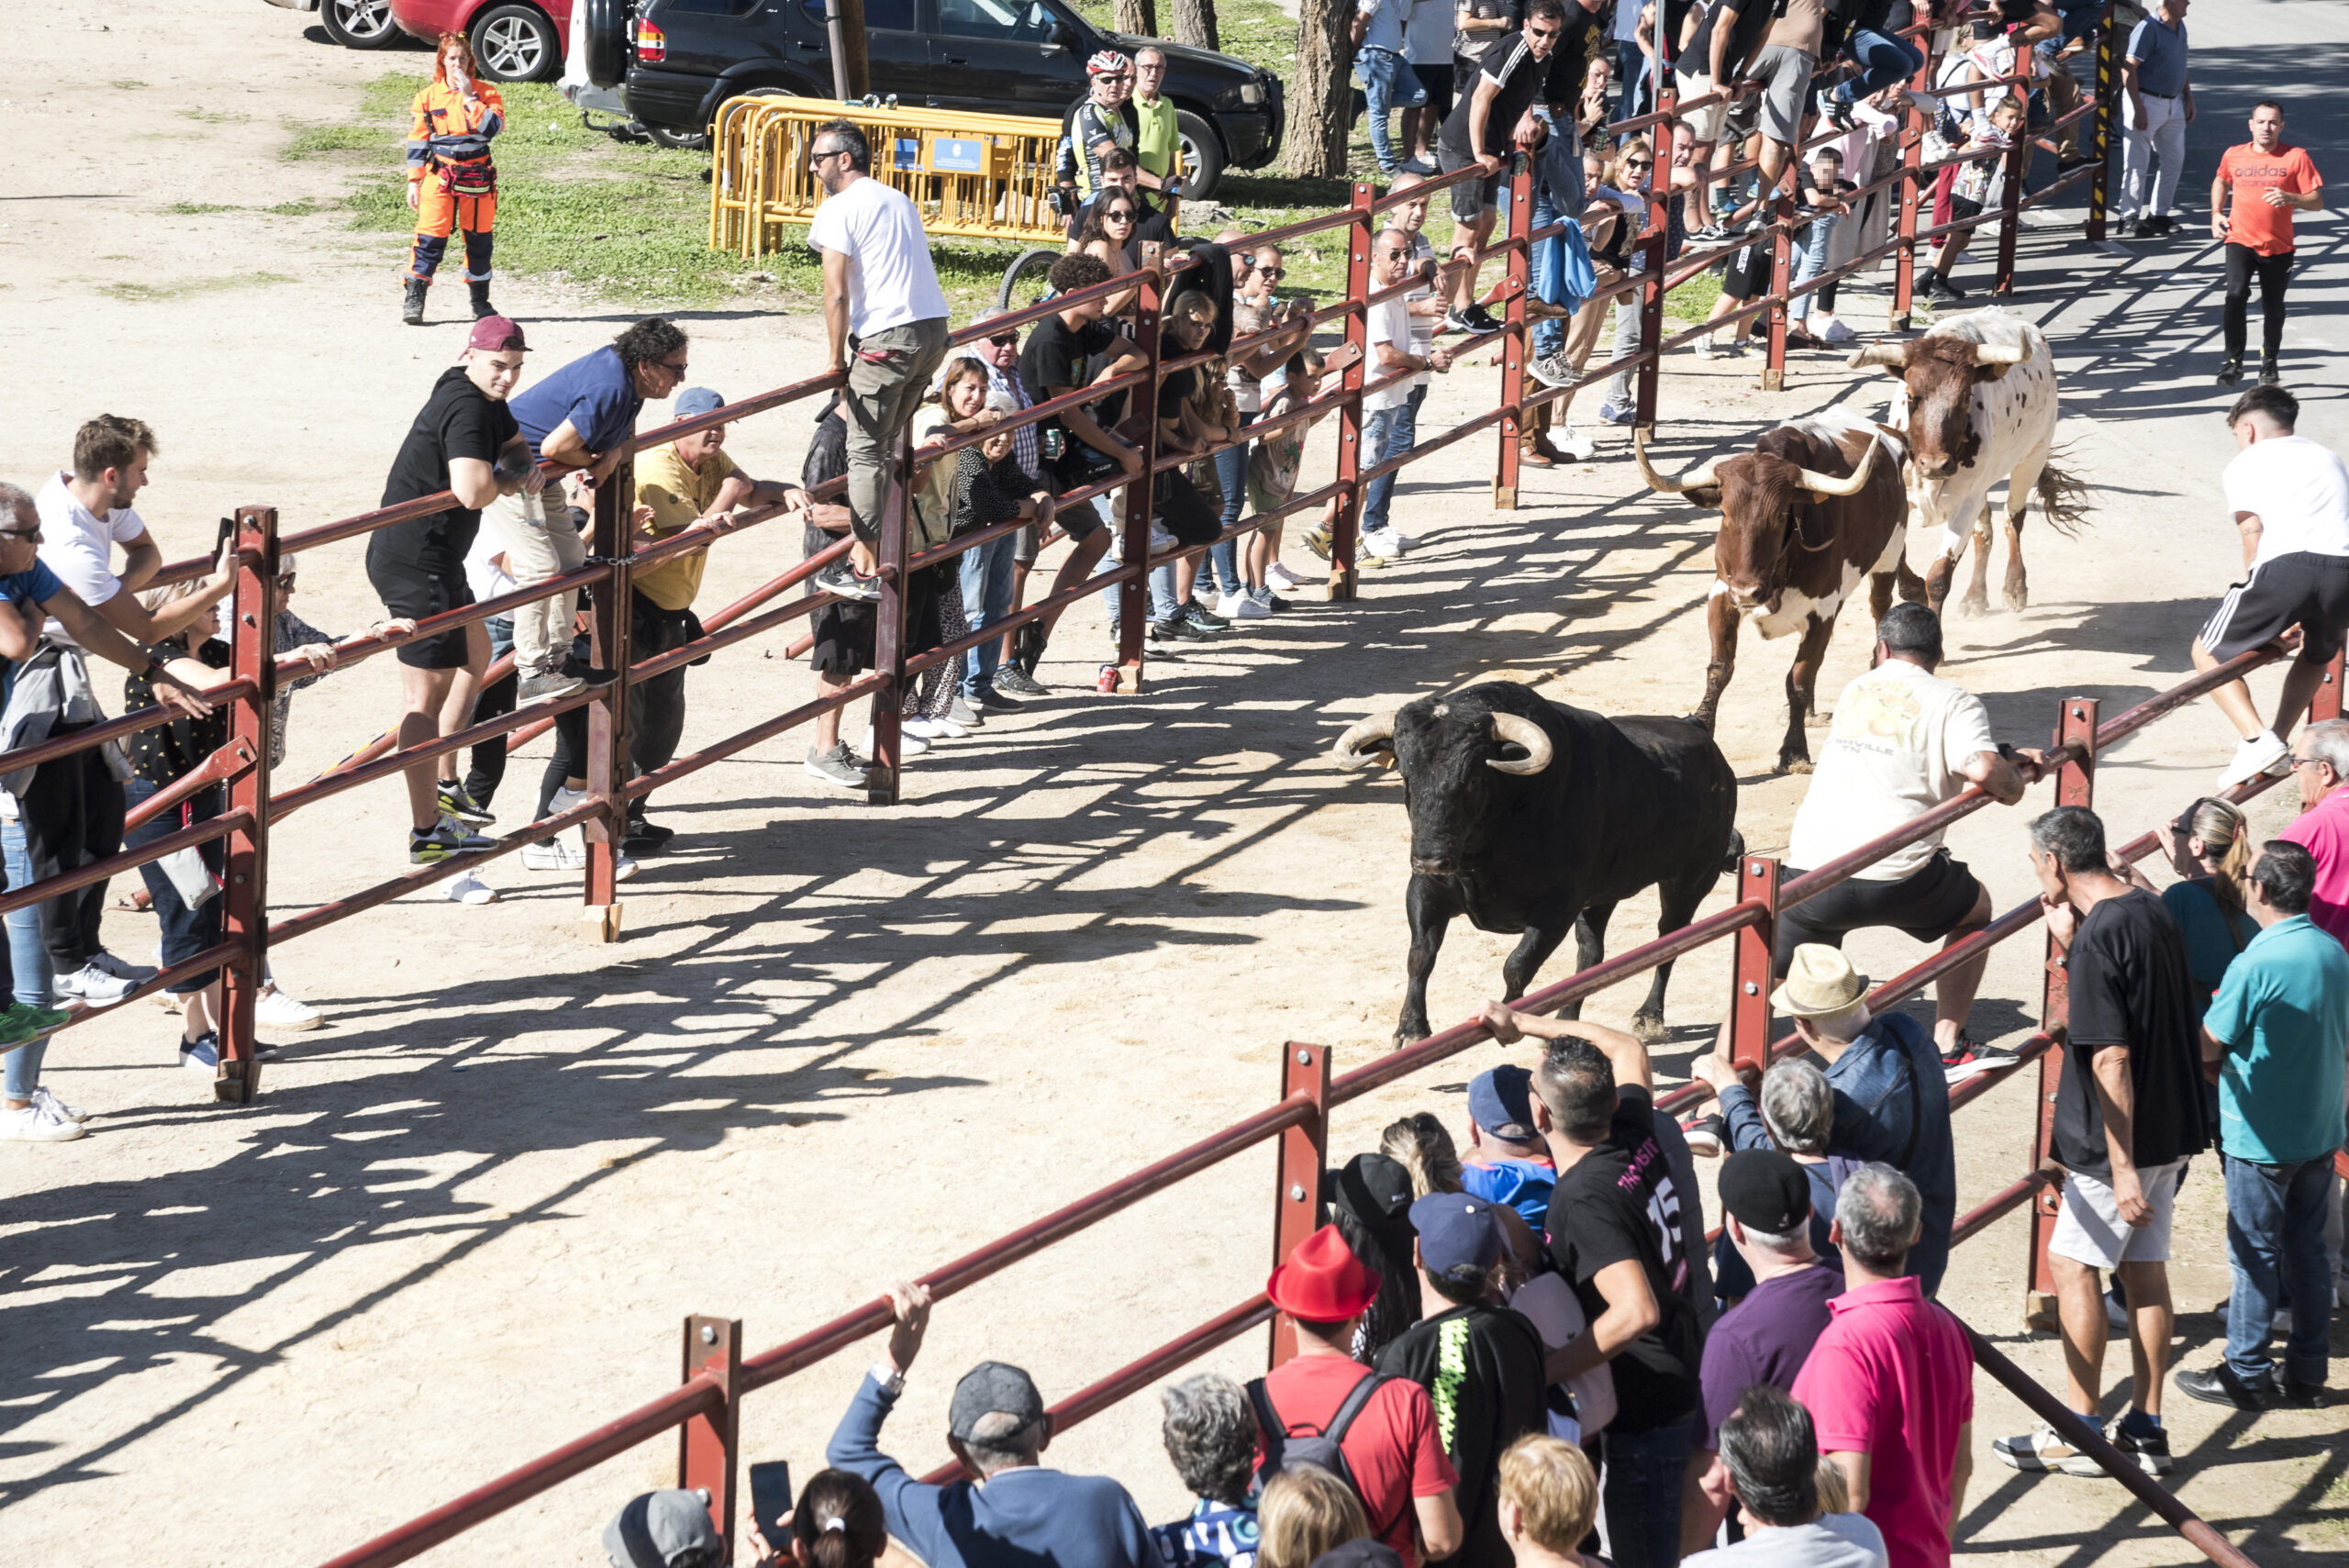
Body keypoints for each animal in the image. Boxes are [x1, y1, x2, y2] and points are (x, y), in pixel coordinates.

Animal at [1334, 680, 1738, 1041]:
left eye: (1473, 779)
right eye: (1406, 776)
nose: (1431, 860)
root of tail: (1696, 727)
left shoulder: (1557, 906)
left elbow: (1518, 964)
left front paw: (1509, 1020)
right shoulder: (1424, 890)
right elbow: (1420, 956)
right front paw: (1411, 1029)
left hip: (1690, 880)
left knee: (1669, 939)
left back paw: (1649, 1016)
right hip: (1602, 894)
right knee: (1591, 953)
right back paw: (1568, 1021)